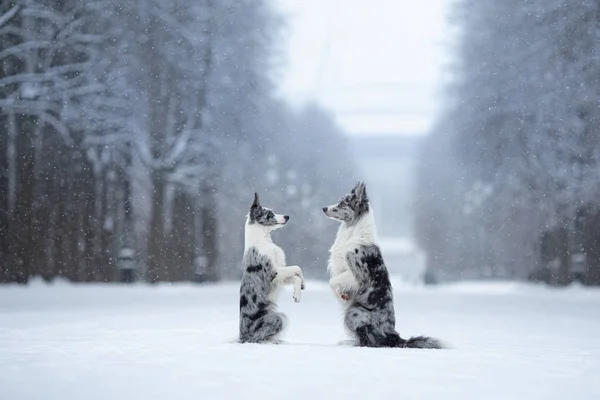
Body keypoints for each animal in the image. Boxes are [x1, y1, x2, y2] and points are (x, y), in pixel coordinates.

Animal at [238, 194, 304, 344]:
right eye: (270, 214)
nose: (287, 216)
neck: (263, 241)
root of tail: (242, 337)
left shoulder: (279, 278)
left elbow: (296, 275)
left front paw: (299, 288)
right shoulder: (274, 272)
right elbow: (297, 268)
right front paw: (298, 294)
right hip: (278, 318)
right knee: (258, 338)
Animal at [324, 183, 446, 348]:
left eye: (343, 203)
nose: (324, 208)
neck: (352, 231)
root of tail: (393, 335)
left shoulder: (358, 274)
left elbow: (332, 282)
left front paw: (342, 295)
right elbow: (333, 283)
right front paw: (343, 294)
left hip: (354, 311)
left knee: (370, 341)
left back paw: (351, 343)